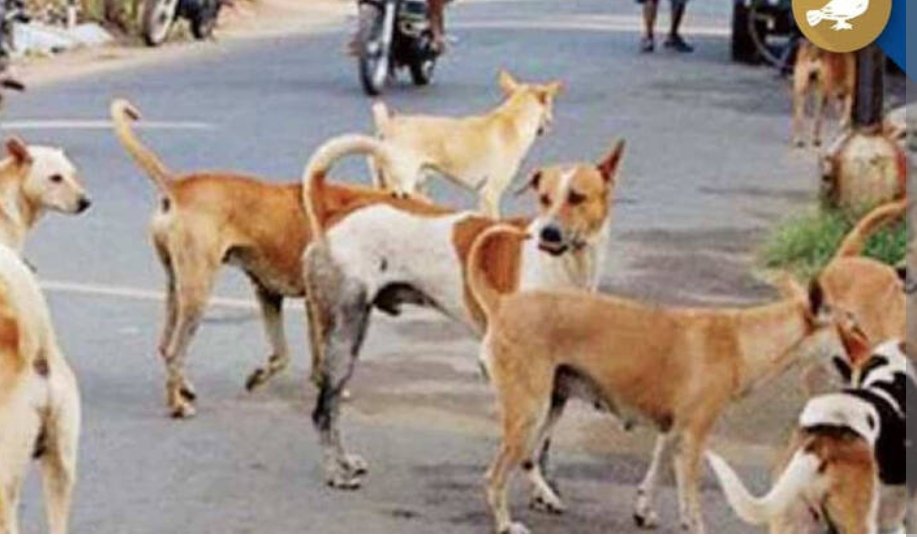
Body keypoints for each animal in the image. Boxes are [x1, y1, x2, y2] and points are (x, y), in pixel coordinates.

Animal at [110, 98, 422, 418]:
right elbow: (317, 353)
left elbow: (283, 354)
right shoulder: (315, 303)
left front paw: (261, 376)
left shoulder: (269, 294)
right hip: (198, 291)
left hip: (176, 286)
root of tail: (178, 185)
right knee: (174, 350)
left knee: (164, 344)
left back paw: (184, 387)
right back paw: (177, 404)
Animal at [302, 140, 625, 489]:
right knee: (323, 410)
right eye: (544, 198)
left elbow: (544, 440)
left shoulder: (559, 375)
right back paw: (335, 472)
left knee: (333, 405)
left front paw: (544, 485)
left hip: (352, 335)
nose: (548, 234)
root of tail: (335, 214)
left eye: (577, 197)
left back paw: (344, 462)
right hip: (343, 334)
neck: (567, 266)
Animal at [370, 70, 562, 217]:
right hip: (403, 185)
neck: (512, 120)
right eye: (550, 106)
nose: (551, 122)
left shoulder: (482, 195)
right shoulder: (490, 193)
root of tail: (387, 125)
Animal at [465, 225, 843, 533]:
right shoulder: (693, 438)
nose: (859, 360)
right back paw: (505, 523)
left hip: (551, 404)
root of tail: (502, 304)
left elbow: (656, 470)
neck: (739, 340)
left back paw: (546, 498)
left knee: (528, 458)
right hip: (530, 411)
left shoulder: (672, 432)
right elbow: (690, 499)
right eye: (849, 329)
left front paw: (644, 510)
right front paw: (693, 524)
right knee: (495, 476)